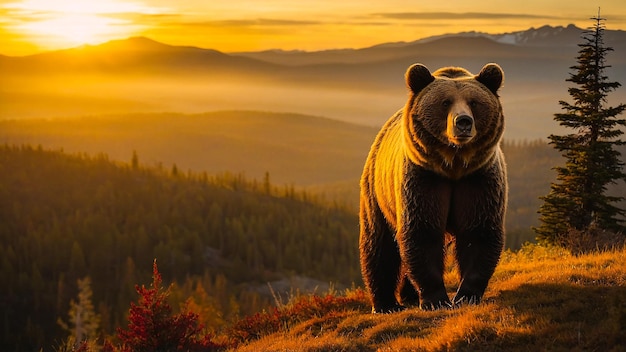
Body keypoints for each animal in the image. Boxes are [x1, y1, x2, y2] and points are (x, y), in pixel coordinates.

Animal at [358, 62, 504, 312]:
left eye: (474, 102)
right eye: (445, 102)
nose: (463, 122)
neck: (454, 165)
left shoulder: (479, 178)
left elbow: (478, 231)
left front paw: (466, 296)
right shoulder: (424, 178)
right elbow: (422, 231)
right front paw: (436, 300)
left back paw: (408, 295)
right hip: (376, 192)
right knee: (378, 245)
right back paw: (386, 304)